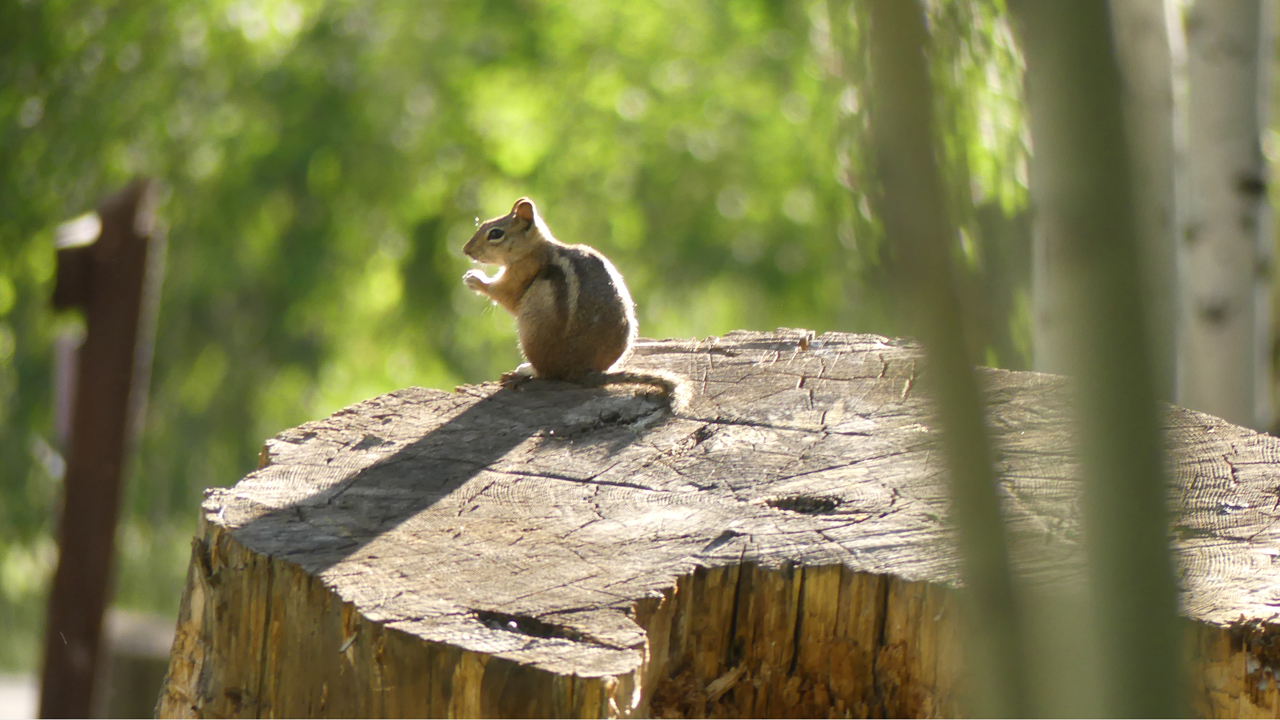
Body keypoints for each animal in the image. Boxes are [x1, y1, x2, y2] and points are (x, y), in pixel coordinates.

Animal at [465, 196, 691, 412]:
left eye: (495, 233)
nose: (466, 250)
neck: (537, 247)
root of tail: (578, 370)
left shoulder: (520, 274)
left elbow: (505, 296)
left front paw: (474, 279)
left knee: (546, 373)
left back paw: (525, 369)